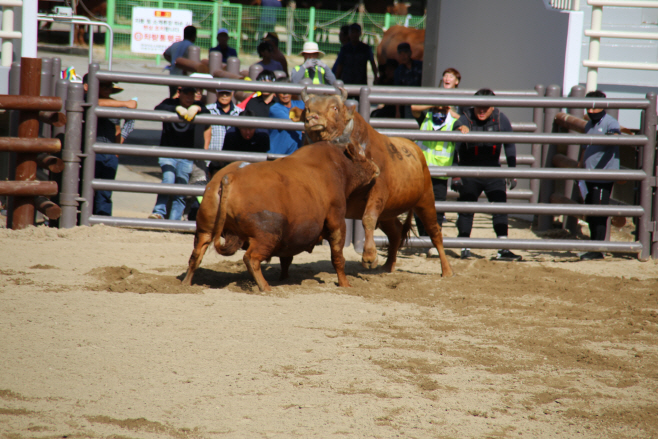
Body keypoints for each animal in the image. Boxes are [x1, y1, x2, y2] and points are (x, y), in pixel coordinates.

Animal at [183, 141, 380, 292]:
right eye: (363, 155)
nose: (376, 167)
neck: (338, 166)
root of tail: (229, 177)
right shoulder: (337, 220)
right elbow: (338, 257)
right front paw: (345, 283)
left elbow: (286, 258)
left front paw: (284, 278)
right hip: (266, 236)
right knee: (251, 259)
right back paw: (265, 287)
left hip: (205, 230)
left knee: (196, 255)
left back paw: (186, 283)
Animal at [290, 91, 452, 278]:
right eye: (307, 108)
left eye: (334, 107)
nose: (313, 118)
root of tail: (415, 150)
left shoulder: (378, 190)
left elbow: (367, 219)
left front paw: (369, 257)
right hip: (389, 211)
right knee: (396, 232)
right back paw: (388, 265)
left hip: (425, 200)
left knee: (435, 232)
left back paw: (446, 270)